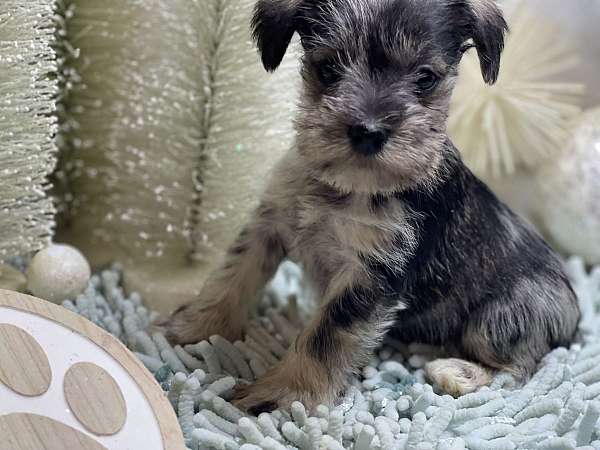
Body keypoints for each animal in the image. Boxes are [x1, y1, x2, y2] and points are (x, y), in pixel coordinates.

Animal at [164, 0, 580, 412]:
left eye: (425, 78)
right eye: (328, 68)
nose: (368, 132)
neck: (351, 184)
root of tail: (574, 318)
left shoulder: (370, 275)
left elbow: (326, 335)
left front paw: (283, 394)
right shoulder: (269, 224)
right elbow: (233, 274)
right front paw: (194, 327)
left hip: (499, 318)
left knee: (521, 367)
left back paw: (456, 372)